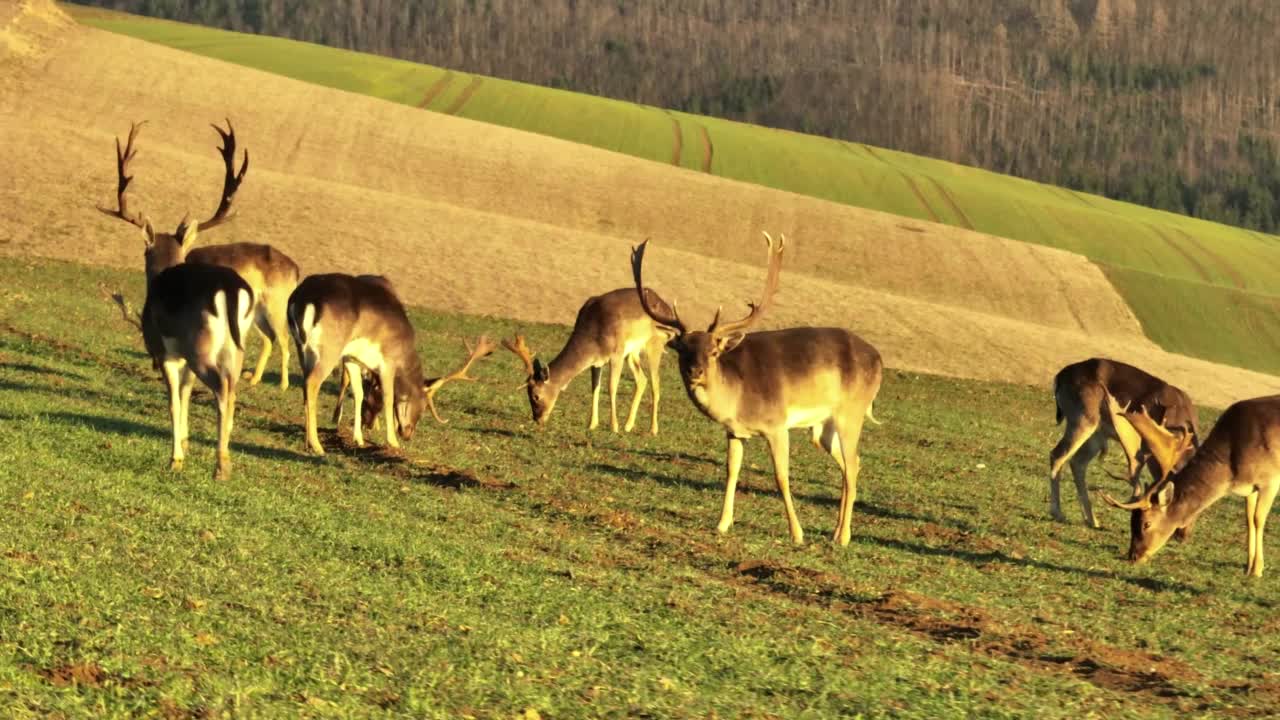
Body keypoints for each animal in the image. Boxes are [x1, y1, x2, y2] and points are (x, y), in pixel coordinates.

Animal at [97, 119, 299, 386]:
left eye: (144, 254)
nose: (153, 364)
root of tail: (296, 270)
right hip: (255, 315)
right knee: (267, 340)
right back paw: (253, 378)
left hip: (276, 304)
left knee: (283, 339)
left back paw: (283, 384)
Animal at [501, 285, 680, 430]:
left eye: (536, 395)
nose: (537, 419)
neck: (593, 335)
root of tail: (668, 309)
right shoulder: (597, 361)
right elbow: (595, 387)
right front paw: (592, 424)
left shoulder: (617, 353)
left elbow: (611, 387)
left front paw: (614, 426)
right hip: (632, 353)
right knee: (642, 380)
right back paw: (628, 426)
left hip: (654, 344)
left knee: (656, 384)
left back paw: (652, 429)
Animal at [627, 230, 880, 543]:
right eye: (683, 349)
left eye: (713, 351)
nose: (695, 371)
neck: (737, 398)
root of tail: (879, 359)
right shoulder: (735, 431)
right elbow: (731, 471)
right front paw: (722, 523)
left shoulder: (777, 425)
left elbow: (781, 477)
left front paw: (797, 534)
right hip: (823, 427)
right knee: (851, 464)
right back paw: (836, 532)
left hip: (851, 412)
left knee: (853, 463)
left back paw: (843, 537)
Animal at [1049, 358, 1198, 527]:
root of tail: (1060, 377)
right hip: (1083, 418)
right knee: (1057, 455)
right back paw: (1058, 513)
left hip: (1097, 434)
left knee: (1077, 462)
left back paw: (1093, 520)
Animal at [1100, 392, 1280, 576]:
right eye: (1131, 521)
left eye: (1146, 523)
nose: (1133, 556)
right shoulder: (1249, 488)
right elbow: (1249, 520)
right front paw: (1248, 567)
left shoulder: (1271, 480)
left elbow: (1258, 520)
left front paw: (1257, 570)